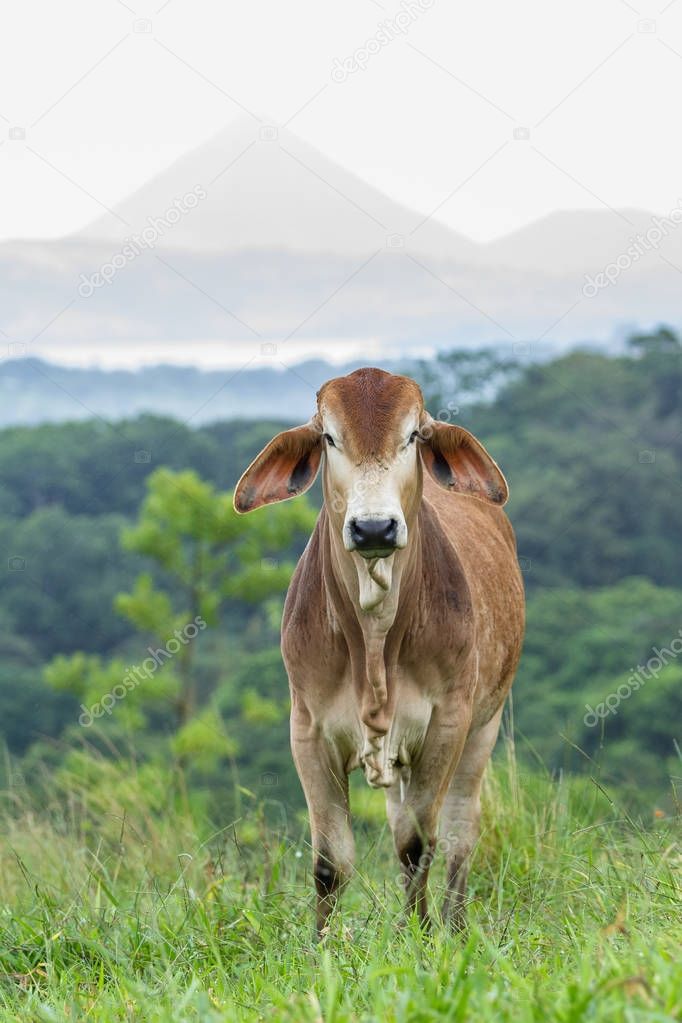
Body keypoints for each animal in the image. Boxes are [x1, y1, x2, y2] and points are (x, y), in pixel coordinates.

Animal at [232, 366, 527, 937]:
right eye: (329, 438)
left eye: (413, 436)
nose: (373, 527)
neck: (373, 641)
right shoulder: (307, 730)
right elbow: (330, 861)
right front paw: (321, 945)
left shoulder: (448, 724)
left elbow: (418, 844)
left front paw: (419, 936)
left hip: (483, 727)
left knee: (459, 836)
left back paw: (456, 927)